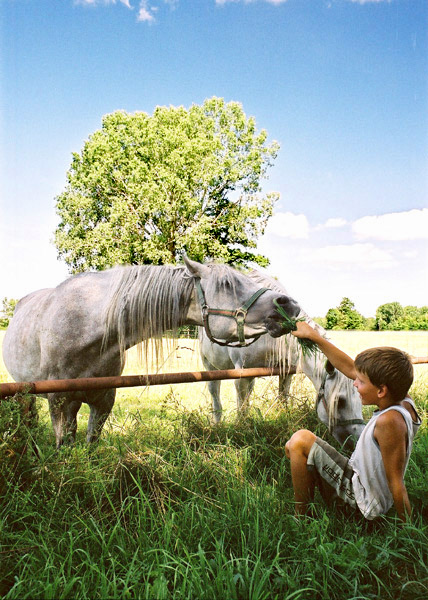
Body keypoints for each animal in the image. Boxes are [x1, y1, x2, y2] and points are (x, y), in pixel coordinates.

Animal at [4, 255, 298, 448]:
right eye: (227, 284)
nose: (289, 304)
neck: (84, 328)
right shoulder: (59, 403)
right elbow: (63, 446)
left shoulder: (103, 401)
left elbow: (90, 444)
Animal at [200, 270, 364, 446]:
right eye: (340, 401)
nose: (356, 440)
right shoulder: (241, 374)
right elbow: (242, 408)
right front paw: (241, 430)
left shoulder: (284, 372)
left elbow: (282, 399)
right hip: (210, 366)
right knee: (215, 394)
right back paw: (216, 423)